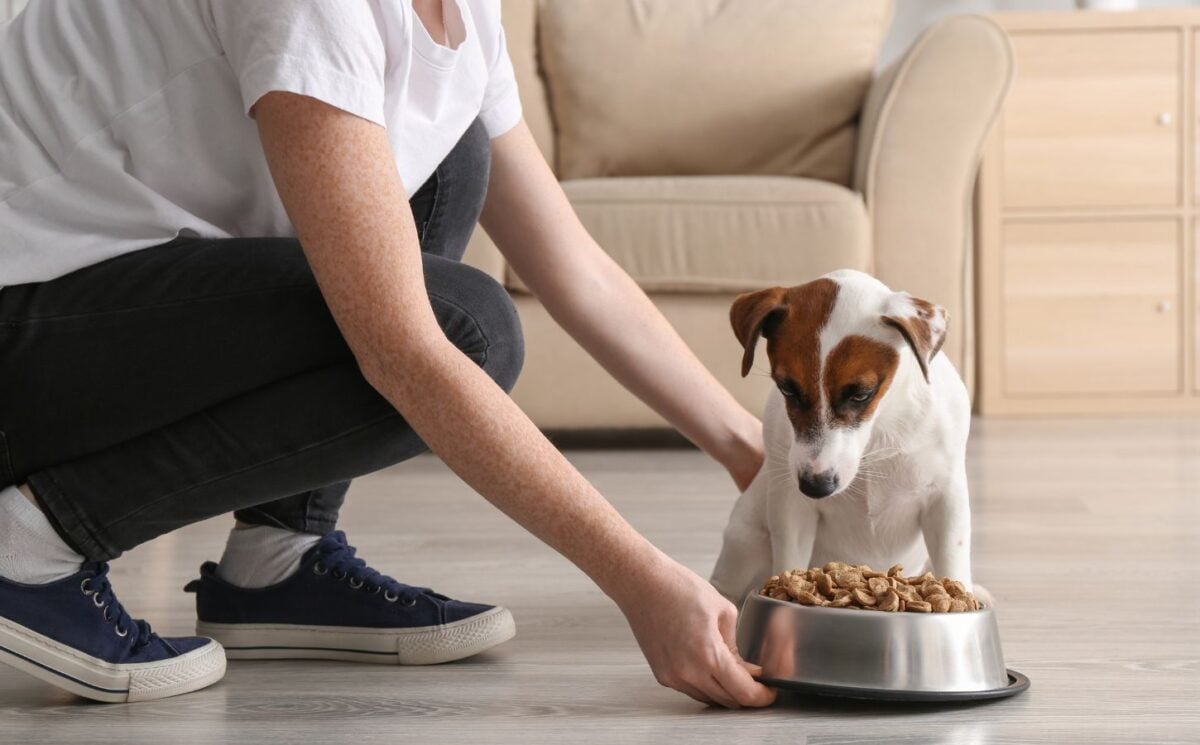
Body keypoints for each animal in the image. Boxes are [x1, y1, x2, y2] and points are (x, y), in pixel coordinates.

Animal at [710, 269, 984, 607]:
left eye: (861, 394)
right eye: (787, 388)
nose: (816, 486)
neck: (878, 431)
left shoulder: (945, 500)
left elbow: (952, 565)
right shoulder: (791, 507)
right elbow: (789, 562)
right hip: (746, 539)